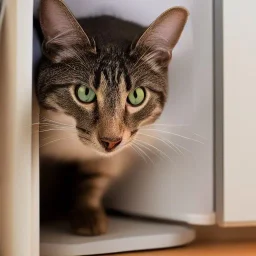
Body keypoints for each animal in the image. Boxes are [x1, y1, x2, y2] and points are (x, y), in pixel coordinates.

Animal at [36, 0, 188, 236]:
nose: (111, 141)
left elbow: (94, 177)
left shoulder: (114, 157)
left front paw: (87, 213)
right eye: (84, 93)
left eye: (136, 96)